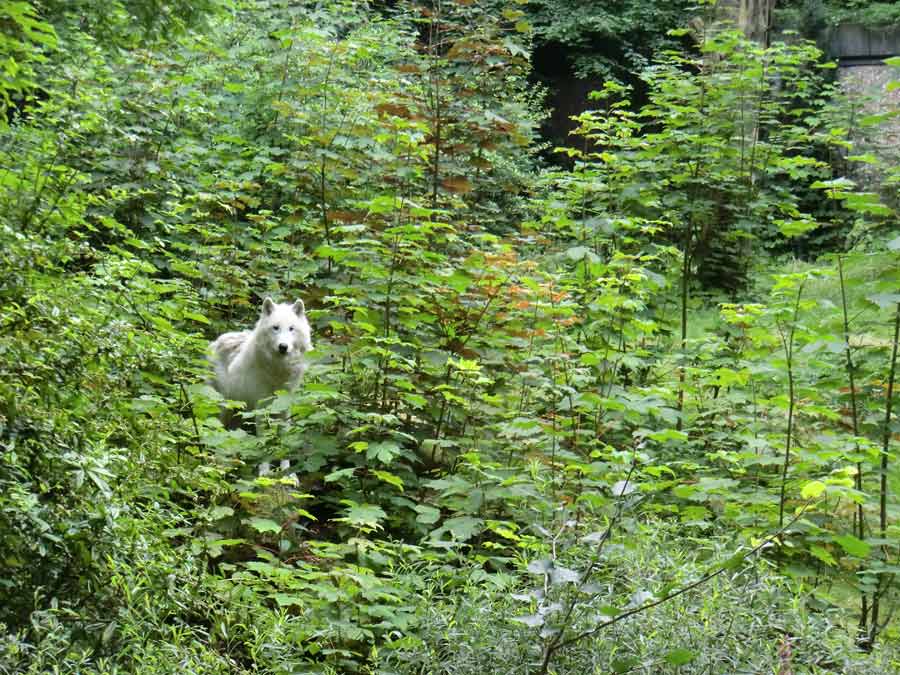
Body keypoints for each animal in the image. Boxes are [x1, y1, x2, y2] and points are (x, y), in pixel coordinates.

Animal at [211, 296, 312, 476]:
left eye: (291, 329)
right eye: (275, 328)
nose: (283, 347)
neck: (278, 371)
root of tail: (217, 340)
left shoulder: (285, 409)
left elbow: (284, 440)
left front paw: (287, 473)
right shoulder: (261, 409)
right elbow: (264, 441)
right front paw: (264, 472)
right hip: (223, 407)